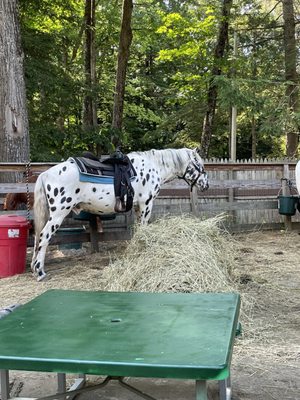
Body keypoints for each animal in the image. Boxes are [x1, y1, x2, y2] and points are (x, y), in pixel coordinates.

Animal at [30, 145, 209, 280]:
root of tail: (46, 174)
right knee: (44, 237)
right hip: (58, 214)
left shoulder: (138, 207)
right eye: (200, 165)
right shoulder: (146, 204)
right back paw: (40, 271)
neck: (154, 166)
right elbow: (143, 228)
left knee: (37, 237)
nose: (206, 185)